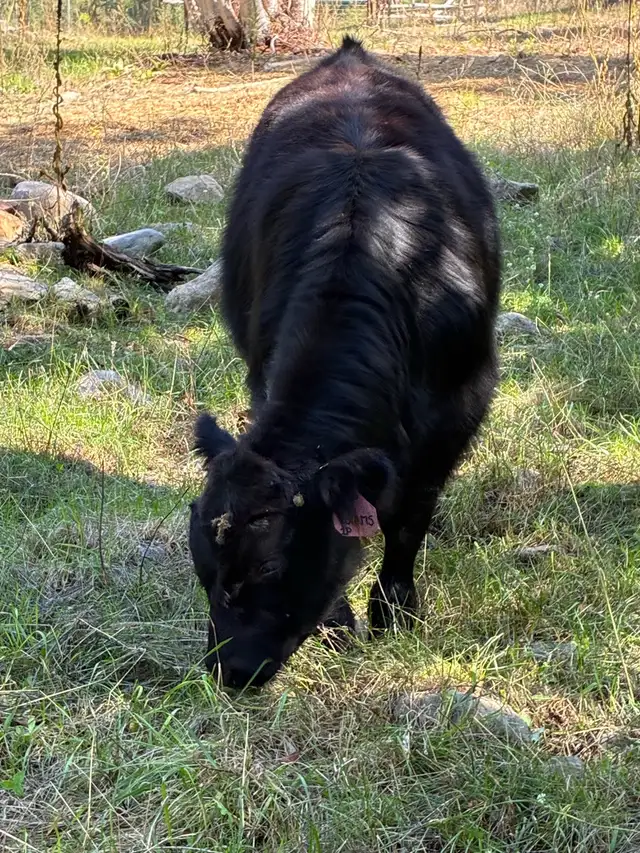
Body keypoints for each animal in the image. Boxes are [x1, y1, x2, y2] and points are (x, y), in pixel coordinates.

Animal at [189, 36, 501, 689]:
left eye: (267, 567)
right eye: (202, 566)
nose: (229, 671)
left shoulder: (459, 406)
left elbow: (409, 517)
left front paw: (396, 612)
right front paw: (339, 621)